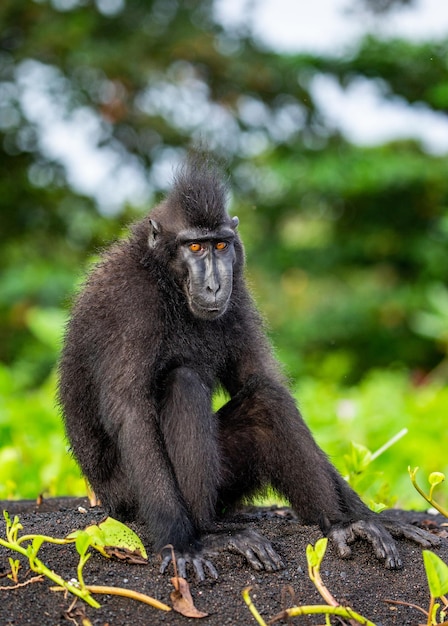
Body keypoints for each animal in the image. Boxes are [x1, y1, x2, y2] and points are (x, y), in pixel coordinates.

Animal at [57, 154, 440, 576]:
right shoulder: (131, 305)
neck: (163, 279)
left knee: (266, 399)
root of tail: (105, 498)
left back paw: (342, 526)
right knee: (183, 382)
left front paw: (370, 517)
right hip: (128, 498)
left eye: (221, 245)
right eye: (194, 246)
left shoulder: (237, 300)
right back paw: (212, 531)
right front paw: (181, 544)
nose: (213, 286)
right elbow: (131, 414)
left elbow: (262, 381)